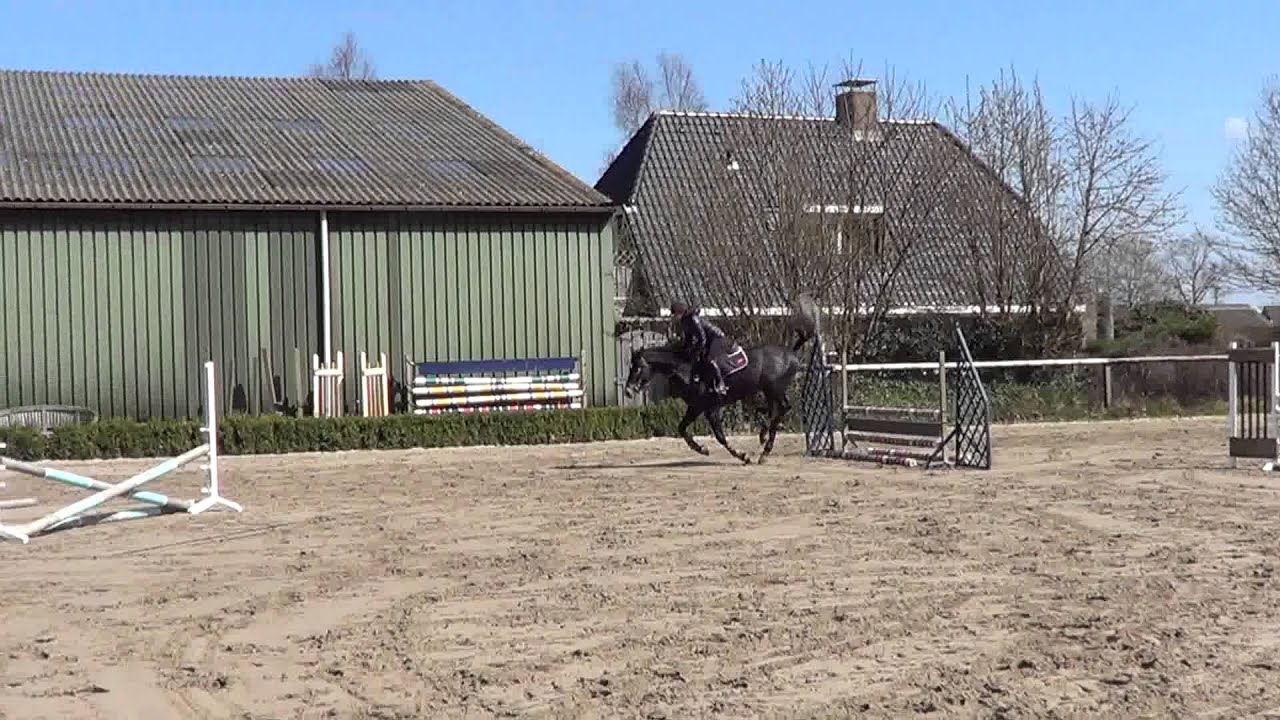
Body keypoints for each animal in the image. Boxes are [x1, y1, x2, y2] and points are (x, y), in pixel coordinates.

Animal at [623, 340, 802, 465]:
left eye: (637, 368)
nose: (628, 391)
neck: (688, 370)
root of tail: (792, 355)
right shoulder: (695, 407)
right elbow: (681, 428)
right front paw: (701, 449)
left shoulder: (712, 409)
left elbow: (720, 436)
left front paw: (742, 455)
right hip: (769, 392)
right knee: (775, 410)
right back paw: (764, 436)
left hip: (773, 390)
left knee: (783, 408)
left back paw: (765, 450)